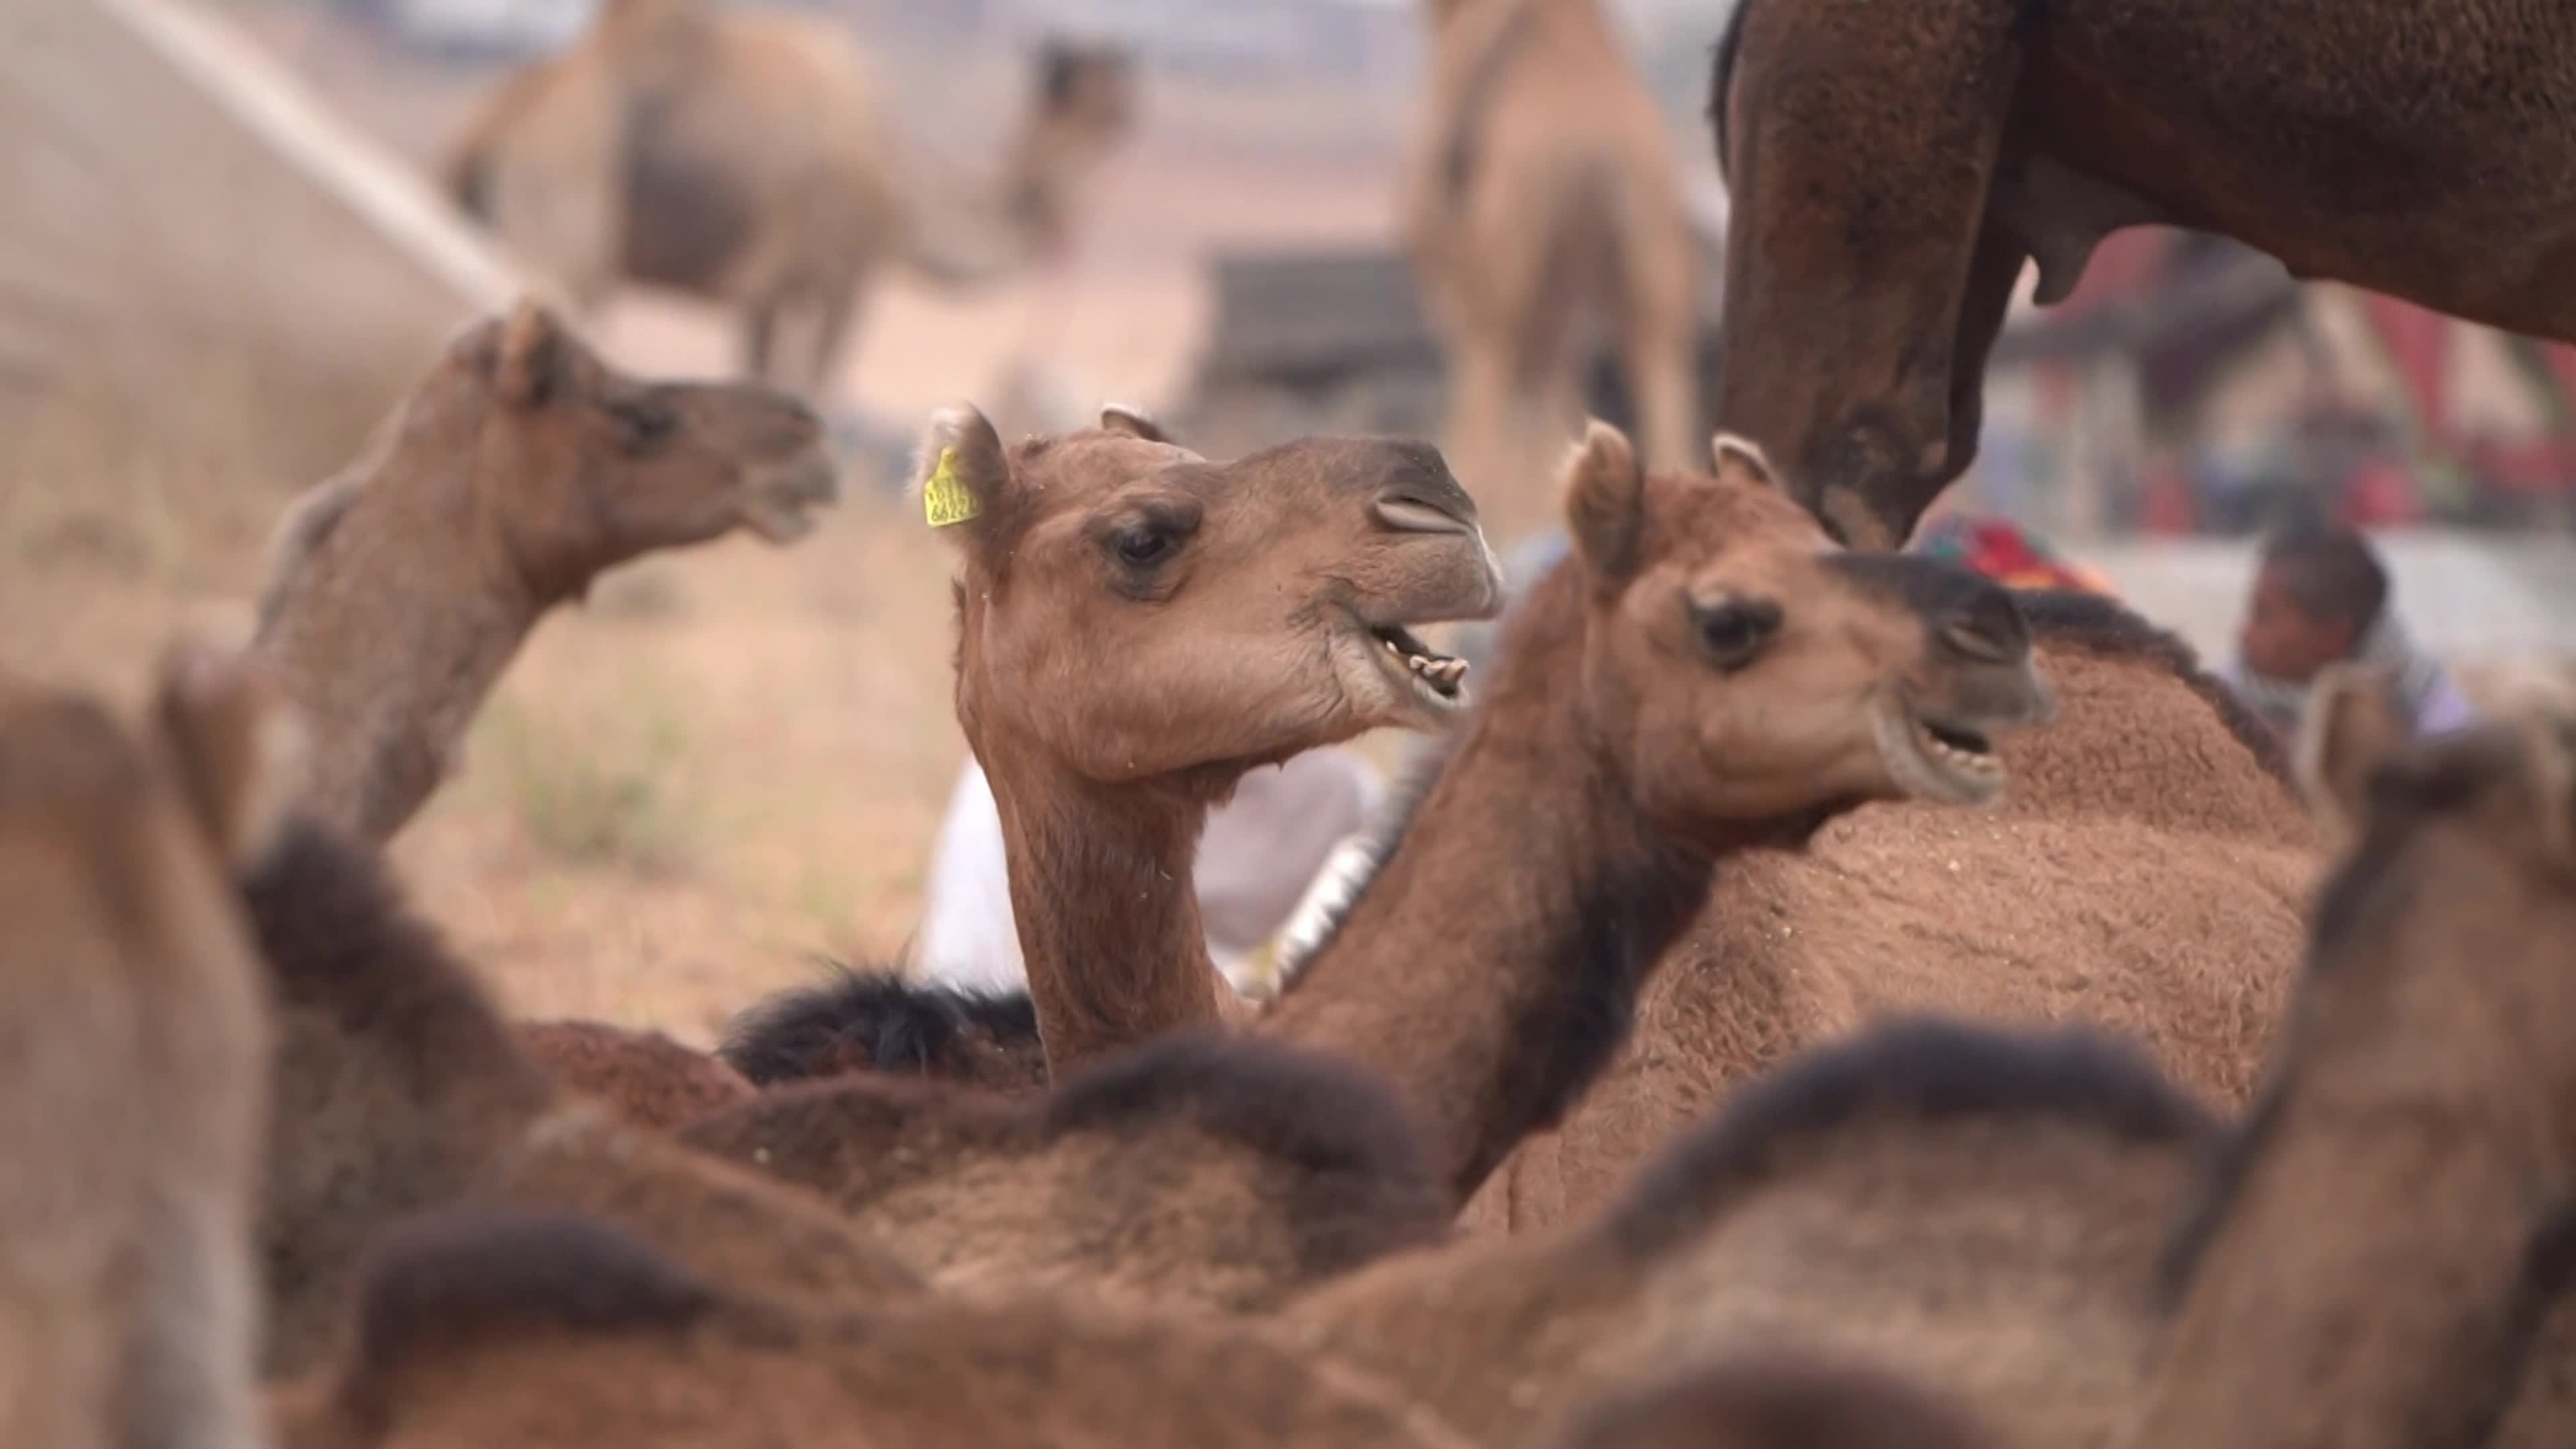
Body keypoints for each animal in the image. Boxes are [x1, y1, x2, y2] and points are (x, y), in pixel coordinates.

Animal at [446, 1, 1137, 397]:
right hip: (565, 218)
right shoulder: (845, 276)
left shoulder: (766, 293)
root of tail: (498, 121)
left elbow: (759, 377)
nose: (1132, 108)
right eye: (1106, 88)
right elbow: (817, 384)